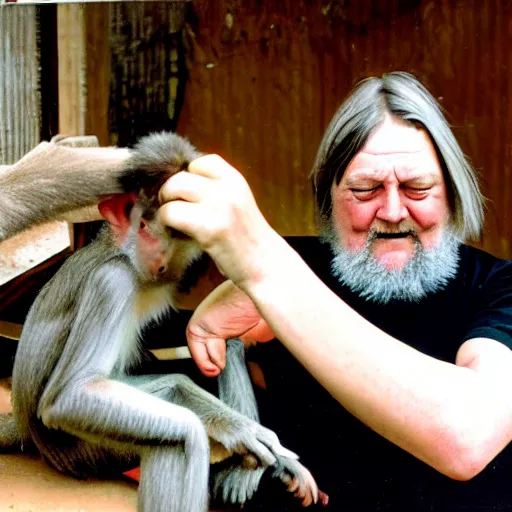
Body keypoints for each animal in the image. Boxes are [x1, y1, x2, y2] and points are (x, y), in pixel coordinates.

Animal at [0, 133, 324, 512]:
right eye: (144, 225)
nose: (157, 259)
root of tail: (27, 431)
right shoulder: (113, 280)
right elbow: (68, 397)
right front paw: (238, 432)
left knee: (181, 381)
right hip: (82, 451)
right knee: (181, 435)